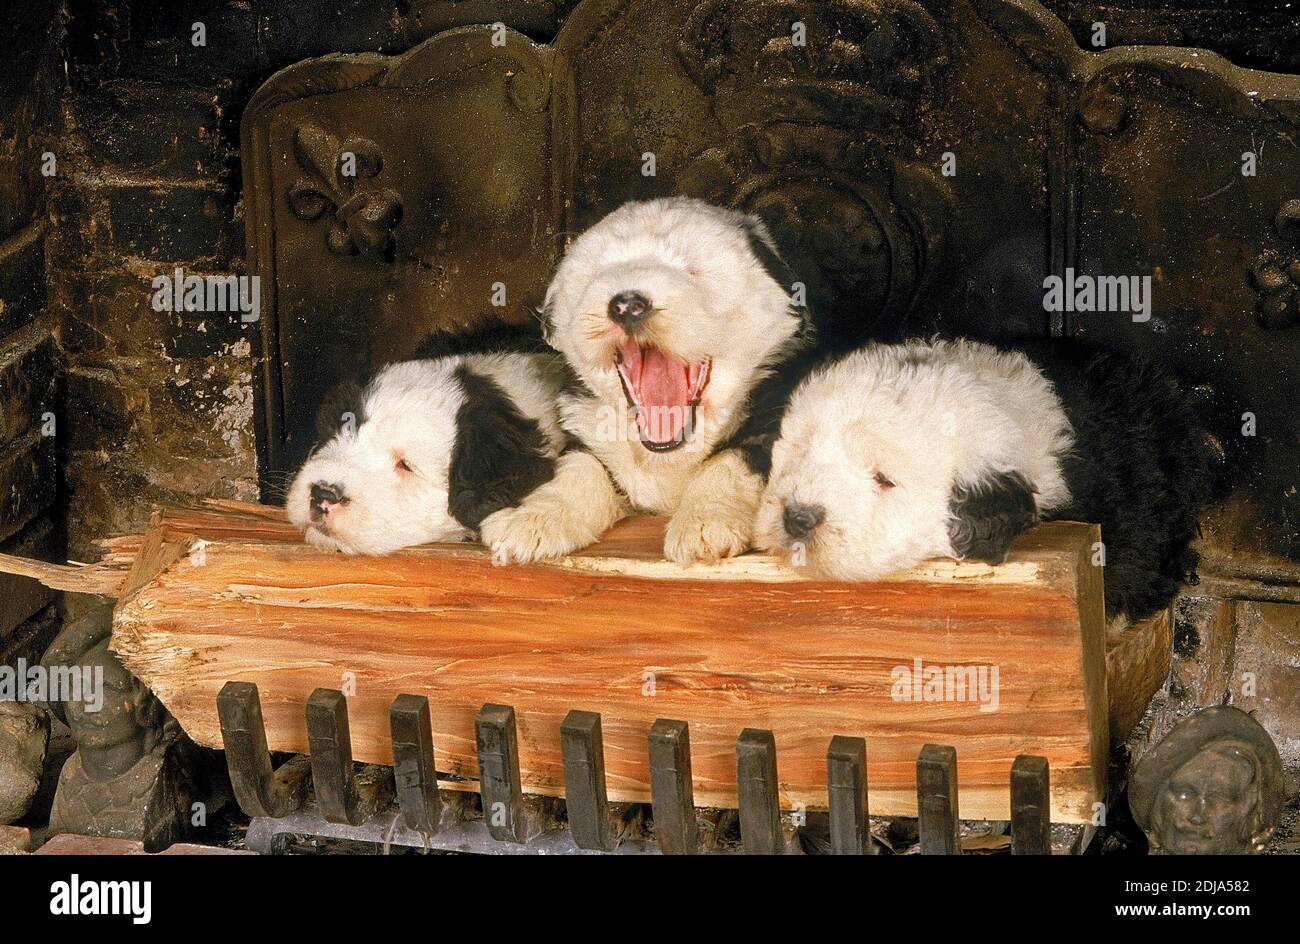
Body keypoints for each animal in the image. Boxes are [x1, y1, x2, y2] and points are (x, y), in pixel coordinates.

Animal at [483, 196, 806, 566]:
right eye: (600, 273)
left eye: (693, 270)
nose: (626, 305)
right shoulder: (586, 428)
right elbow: (579, 467)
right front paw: (532, 519)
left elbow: (732, 460)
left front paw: (704, 521)